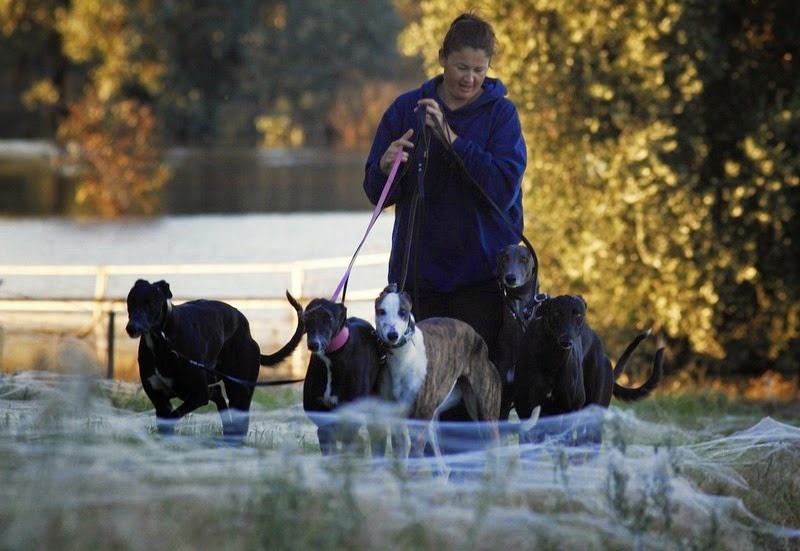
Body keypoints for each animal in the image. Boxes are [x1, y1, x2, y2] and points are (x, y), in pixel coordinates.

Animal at [128, 280, 304, 440]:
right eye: (130, 302)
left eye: (150, 304)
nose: (131, 328)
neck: (163, 340)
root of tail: (249, 334)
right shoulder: (160, 399)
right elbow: (166, 422)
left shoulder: (199, 393)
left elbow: (171, 418)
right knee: (219, 394)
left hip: (239, 389)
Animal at [374, 284, 500, 462]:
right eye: (381, 311)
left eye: (403, 311)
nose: (392, 335)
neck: (403, 356)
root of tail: (478, 338)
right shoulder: (396, 416)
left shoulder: (420, 417)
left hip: (485, 413)